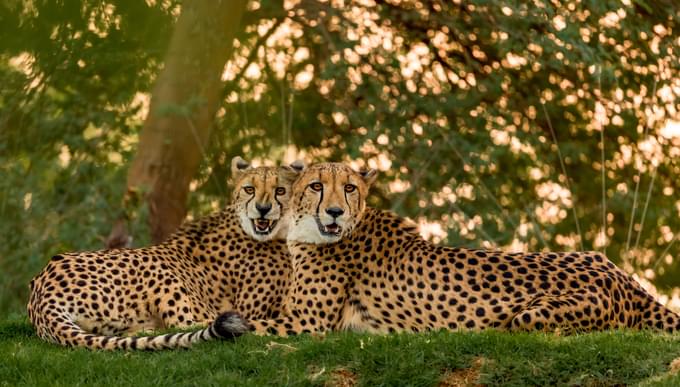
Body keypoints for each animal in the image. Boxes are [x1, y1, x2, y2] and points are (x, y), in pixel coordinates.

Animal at [27, 156, 302, 350]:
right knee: (191, 324)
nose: (263, 209)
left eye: (280, 190)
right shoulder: (255, 310)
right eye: (249, 189)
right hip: (159, 269)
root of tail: (43, 291)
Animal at [218, 164, 680, 340]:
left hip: (531, 316)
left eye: (349, 188)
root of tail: (625, 280)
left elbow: (231, 326)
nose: (333, 211)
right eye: (316, 185)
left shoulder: (307, 324)